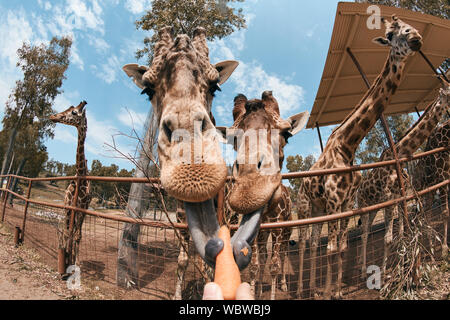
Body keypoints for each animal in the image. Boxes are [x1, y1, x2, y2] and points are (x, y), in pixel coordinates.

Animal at [50, 100, 91, 264]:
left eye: (74, 112)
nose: (53, 116)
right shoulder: (69, 206)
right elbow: (68, 232)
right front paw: (66, 257)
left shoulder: (82, 209)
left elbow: (78, 235)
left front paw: (76, 261)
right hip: (66, 208)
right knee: (65, 229)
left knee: (73, 231)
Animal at [225, 92, 310, 300]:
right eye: (232, 140)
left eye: (286, 134)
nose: (250, 191)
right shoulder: (257, 232)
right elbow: (256, 265)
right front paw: (253, 292)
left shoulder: (279, 227)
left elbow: (274, 265)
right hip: (265, 232)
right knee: (264, 255)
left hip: (287, 230)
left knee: (284, 254)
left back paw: (284, 285)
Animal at [298, 16, 424, 298]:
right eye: (390, 35)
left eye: (409, 25)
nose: (416, 38)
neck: (348, 145)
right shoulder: (334, 201)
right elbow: (332, 249)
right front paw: (332, 292)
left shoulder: (344, 204)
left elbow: (342, 247)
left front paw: (336, 291)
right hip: (305, 207)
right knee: (303, 243)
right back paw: (303, 289)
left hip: (319, 208)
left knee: (313, 242)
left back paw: (312, 287)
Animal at [356, 82, 448, 278]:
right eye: (448, 93)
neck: (399, 155)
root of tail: (359, 190)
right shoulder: (389, 199)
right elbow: (388, 239)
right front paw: (385, 271)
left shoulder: (399, 198)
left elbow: (401, 233)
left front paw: (403, 261)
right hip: (363, 205)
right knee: (364, 234)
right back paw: (362, 270)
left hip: (375, 207)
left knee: (364, 232)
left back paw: (361, 263)